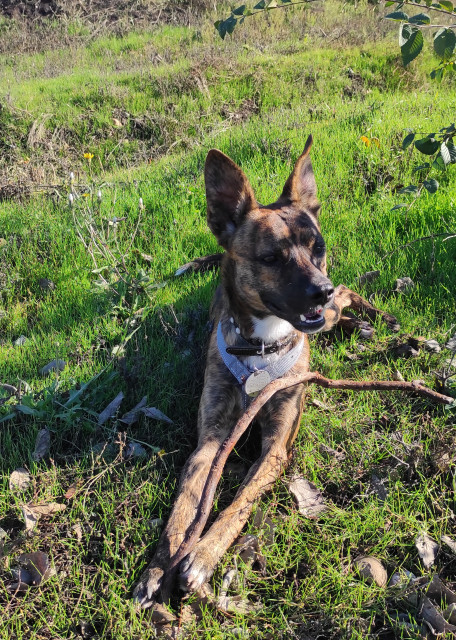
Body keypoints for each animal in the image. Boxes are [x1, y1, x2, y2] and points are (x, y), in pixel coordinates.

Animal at [133, 135, 398, 607]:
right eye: (271, 257)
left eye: (317, 248)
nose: (320, 289)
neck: (261, 346)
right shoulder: (209, 441)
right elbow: (183, 507)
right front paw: (158, 569)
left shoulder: (276, 446)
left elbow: (239, 502)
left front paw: (202, 556)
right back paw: (361, 324)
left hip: (332, 309)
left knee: (348, 293)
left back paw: (379, 319)